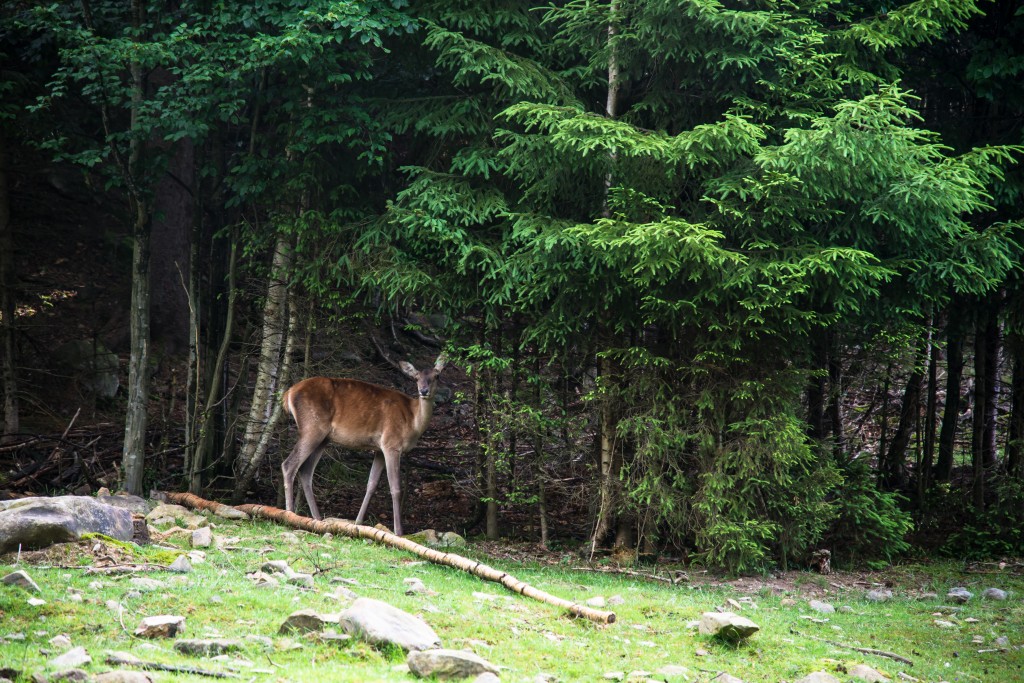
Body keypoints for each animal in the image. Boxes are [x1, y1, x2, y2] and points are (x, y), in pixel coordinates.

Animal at [278, 356, 446, 536]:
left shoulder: (379, 449)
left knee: (305, 471)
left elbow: (371, 484)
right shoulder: (391, 443)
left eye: (436, 376)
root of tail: (288, 393)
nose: (424, 391)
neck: (412, 422)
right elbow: (395, 488)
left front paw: (358, 523)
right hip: (312, 427)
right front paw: (399, 531)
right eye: (416, 378)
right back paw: (289, 514)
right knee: (289, 465)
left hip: (323, 438)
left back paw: (317, 519)